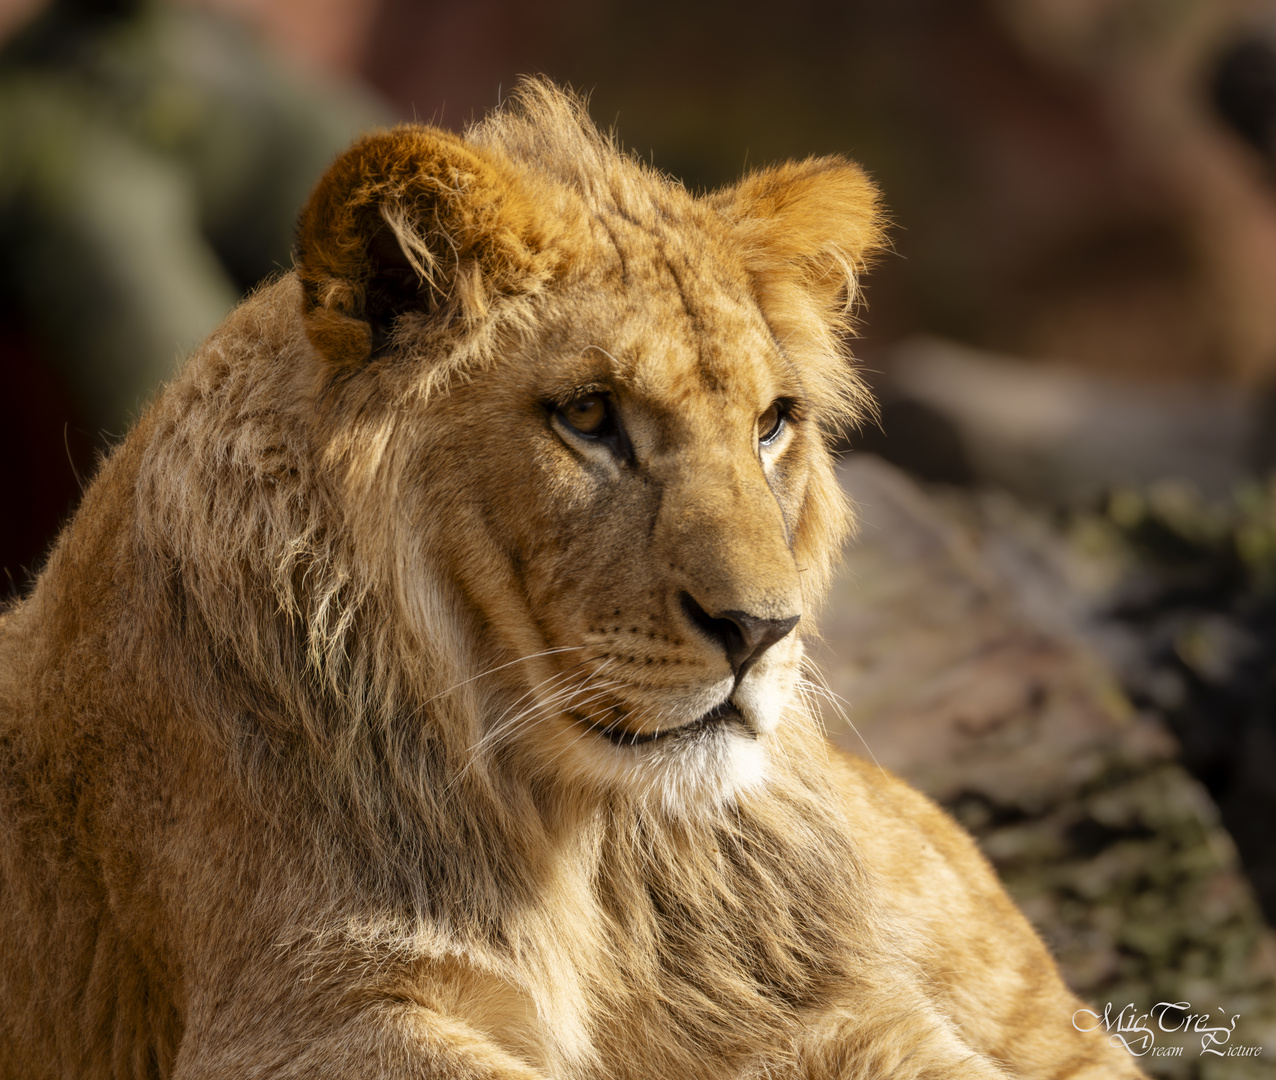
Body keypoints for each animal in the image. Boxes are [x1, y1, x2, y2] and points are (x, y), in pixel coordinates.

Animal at [0, 80, 1148, 1077]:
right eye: (590, 417)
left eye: (770, 424)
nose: (762, 632)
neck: (592, 854)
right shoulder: (305, 1013)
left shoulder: (817, 1011)